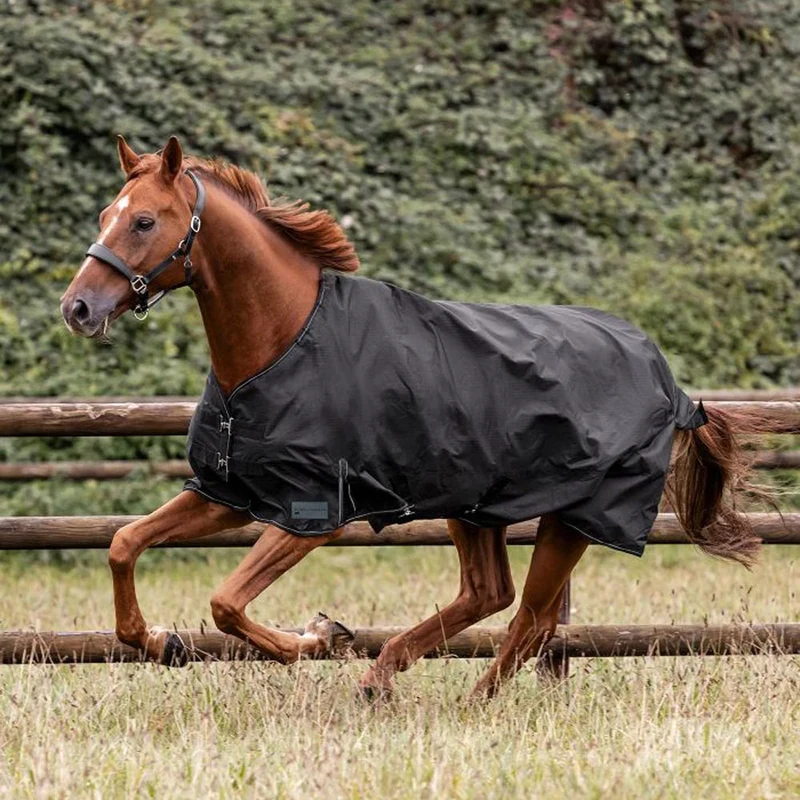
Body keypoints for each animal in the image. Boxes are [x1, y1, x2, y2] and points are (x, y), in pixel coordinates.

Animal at [60, 135, 773, 700]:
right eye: (104, 214)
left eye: (144, 221)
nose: (78, 309)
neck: (282, 342)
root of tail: (669, 381)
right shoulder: (229, 493)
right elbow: (124, 544)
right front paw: (162, 643)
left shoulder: (311, 513)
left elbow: (226, 601)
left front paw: (315, 639)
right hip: (476, 506)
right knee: (491, 596)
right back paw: (386, 676)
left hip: (575, 517)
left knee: (531, 618)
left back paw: (456, 700)